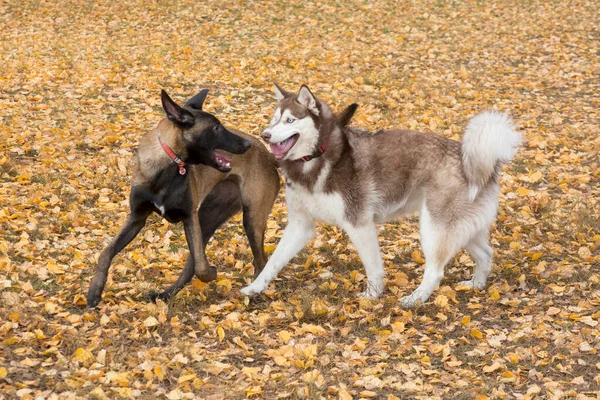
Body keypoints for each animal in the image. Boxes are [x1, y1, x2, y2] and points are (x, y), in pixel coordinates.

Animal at [88, 89, 280, 306]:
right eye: (216, 127)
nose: (247, 144)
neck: (166, 168)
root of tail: (267, 155)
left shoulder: (189, 218)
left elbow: (202, 267)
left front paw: (212, 272)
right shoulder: (137, 218)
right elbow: (106, 252)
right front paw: (94, 292)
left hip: (250, 220)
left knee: (260, 261)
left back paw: (255, 293)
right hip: (207, 218)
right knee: (192, 264)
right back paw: (165, 294)